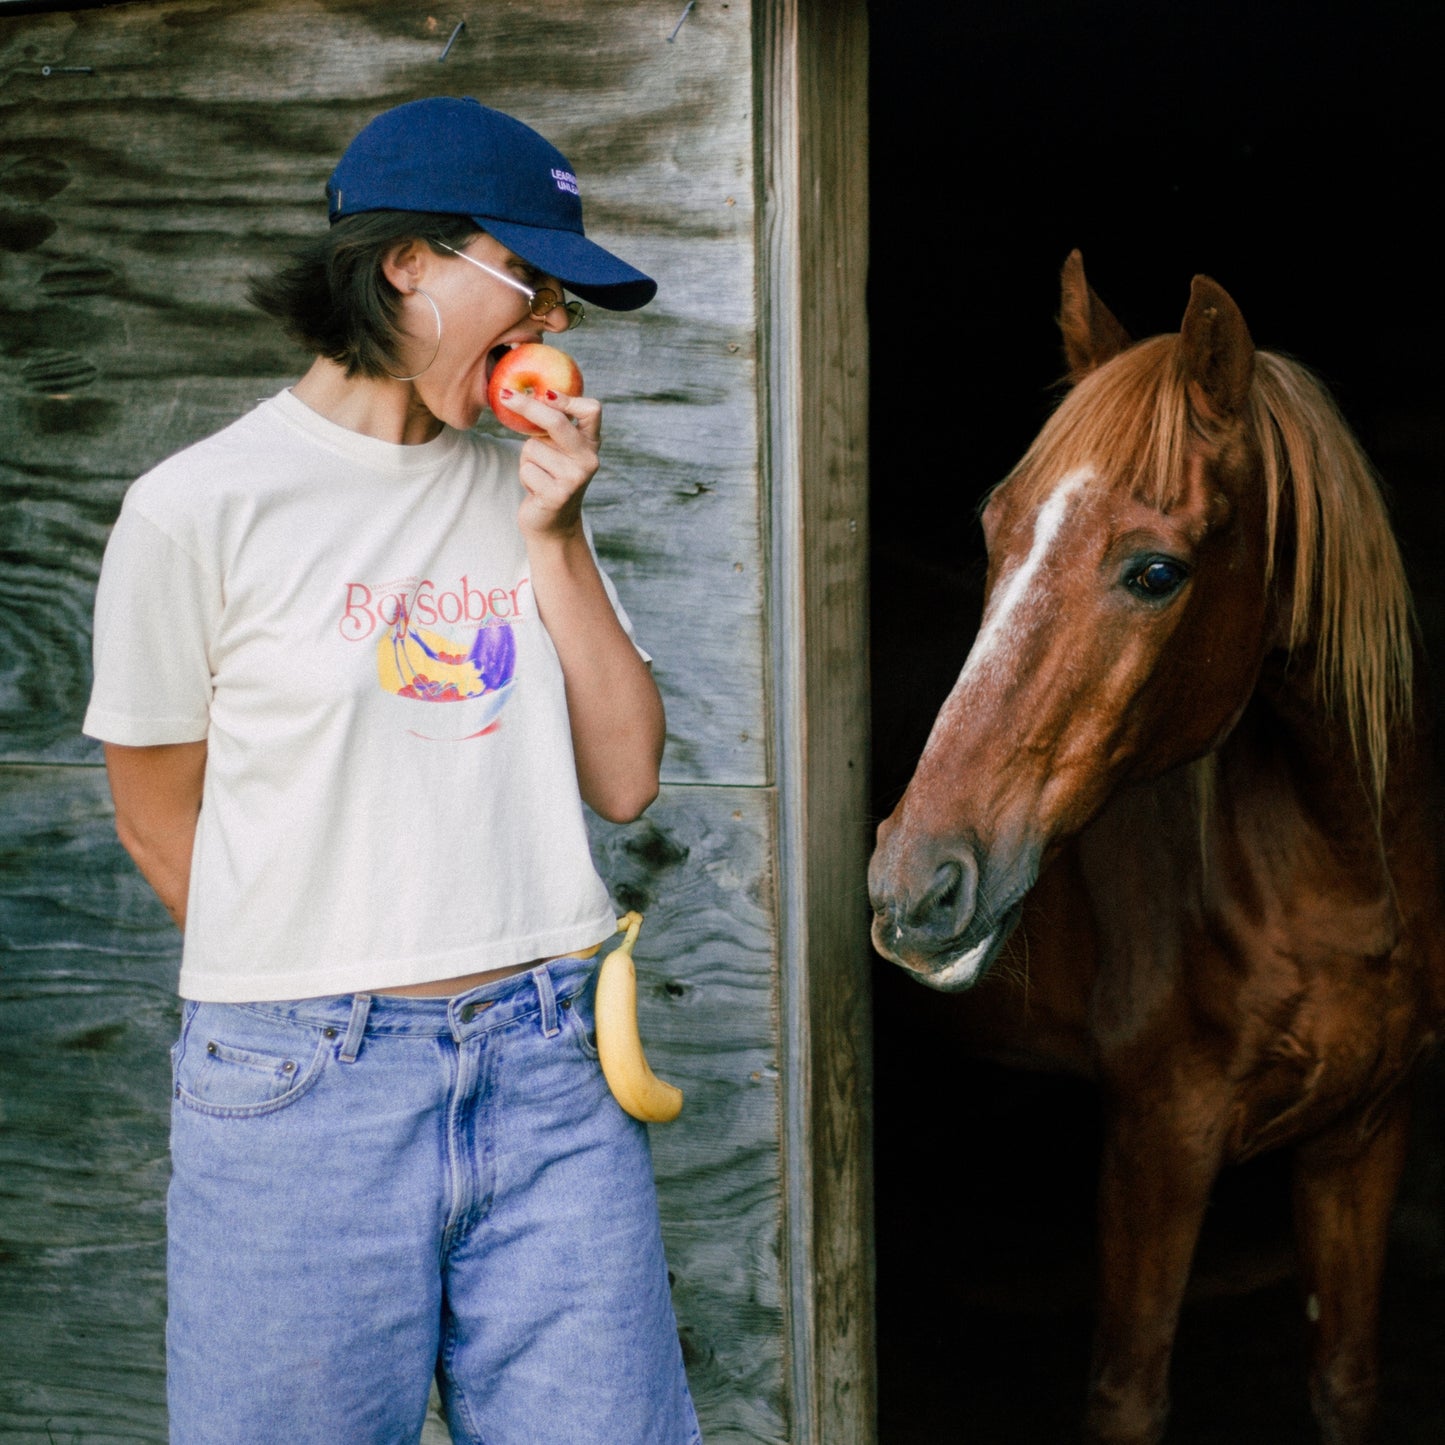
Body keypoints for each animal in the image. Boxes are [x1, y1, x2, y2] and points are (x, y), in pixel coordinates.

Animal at [867, 254, 1445, 1439]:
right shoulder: (1157, 1142)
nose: (912, 883)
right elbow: (1127, 1395)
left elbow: (1344, 1379)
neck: (1338, 875)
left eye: (1153, 572)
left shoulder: (1362, 1133)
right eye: (995, 531)